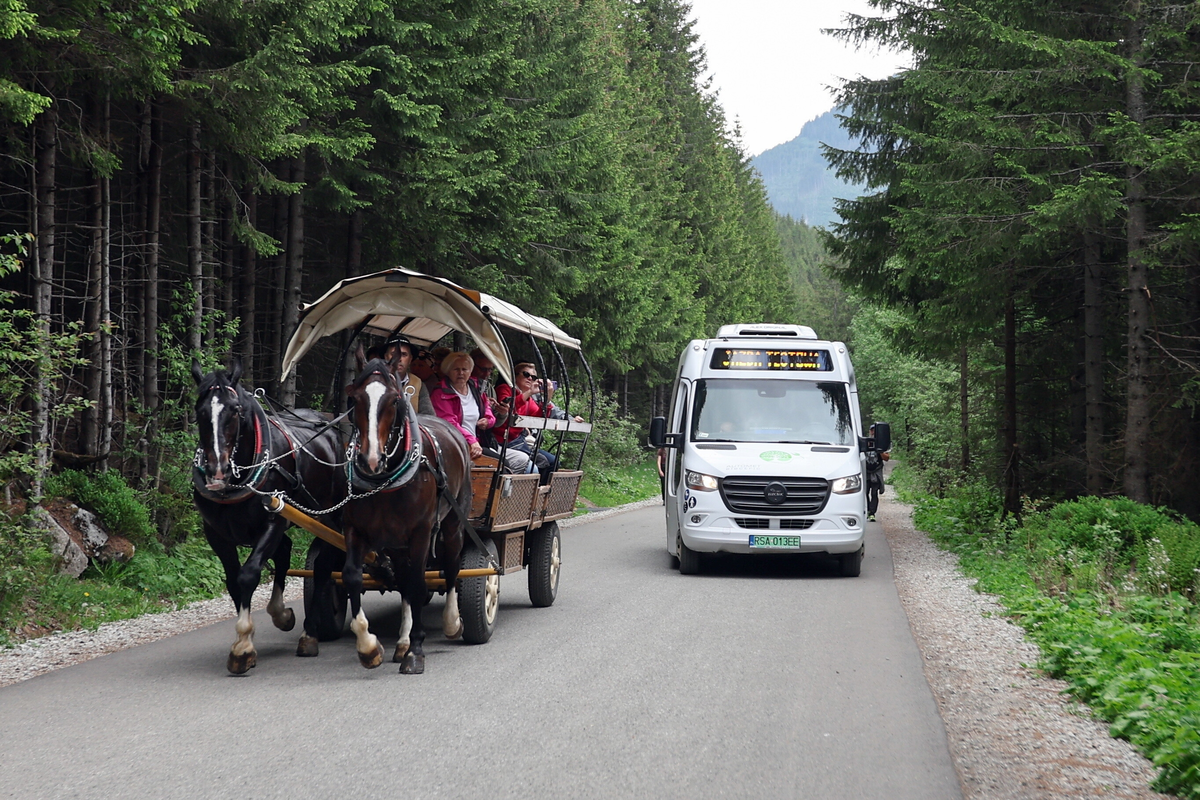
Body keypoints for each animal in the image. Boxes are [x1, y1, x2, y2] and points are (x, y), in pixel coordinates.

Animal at [189, 359, 345, 671]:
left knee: (323, 567)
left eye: (235, 410)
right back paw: (282, 614)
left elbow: (248, 576)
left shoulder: (273, 519)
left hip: (329, 517)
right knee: (287, 551)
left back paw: (309, 634)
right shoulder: (216, 533)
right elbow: (233, 582)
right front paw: (247, 638)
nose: (216, 470)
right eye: (200, 411)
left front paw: (243, 646)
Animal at [340, 347, 470, 671]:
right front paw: (369, 647)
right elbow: (352, 576)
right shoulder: (355, 530)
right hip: (396, 542)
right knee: (403, 578)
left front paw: (417, 650)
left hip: (453, 524)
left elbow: (418, 583)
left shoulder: (421, 532)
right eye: (354, 397)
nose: (370, 460)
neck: (384, 481)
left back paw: (451, 623)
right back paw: (401, 641)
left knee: (451, 566)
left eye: (394, 400)